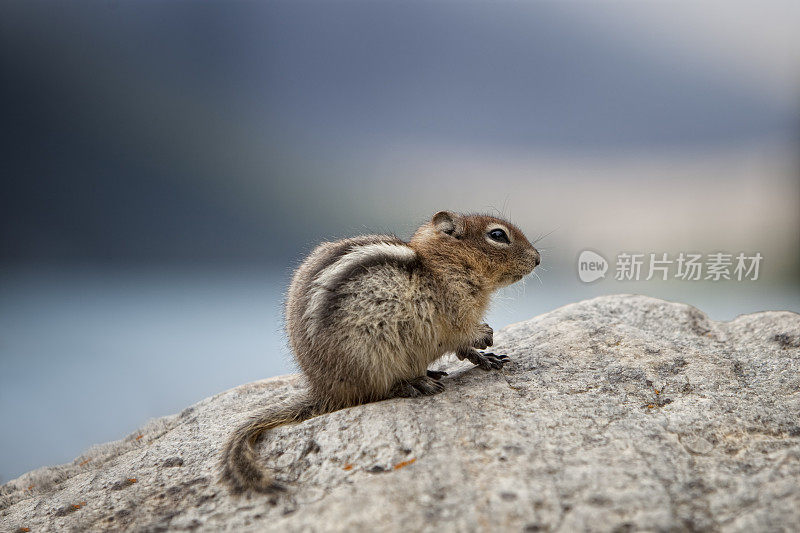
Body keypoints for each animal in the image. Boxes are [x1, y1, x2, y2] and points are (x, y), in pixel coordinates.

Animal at [222, 210, 540, 492]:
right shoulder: (455, 315)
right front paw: (485, 335)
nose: (538, 258)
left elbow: (464, 350)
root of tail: (323, 389)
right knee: (374, 392)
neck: (445, 263)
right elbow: (463, 336)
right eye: (497, 235)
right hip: (371, 357)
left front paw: (488, 357)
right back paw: (414, 384)